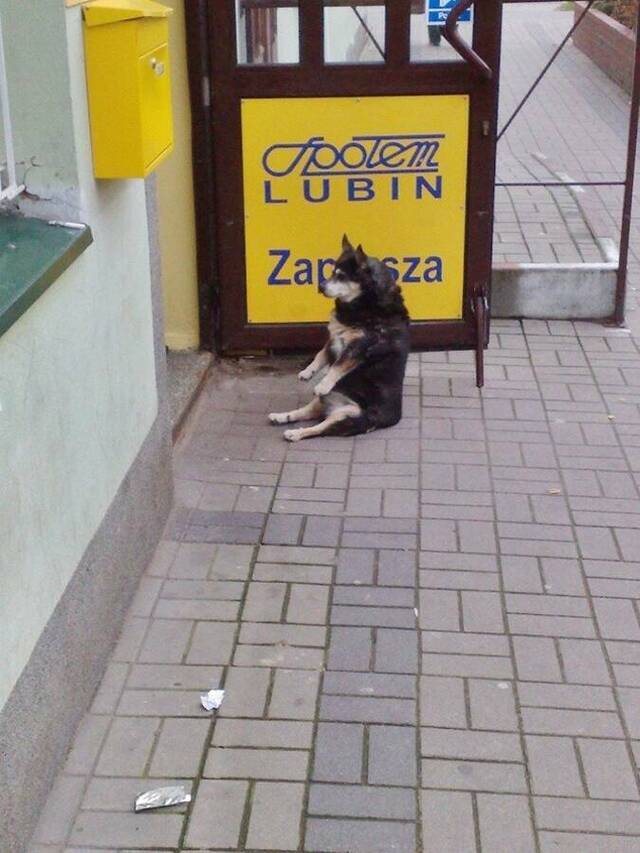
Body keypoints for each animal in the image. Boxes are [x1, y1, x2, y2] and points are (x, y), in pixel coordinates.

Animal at [268, 235, 411, 442]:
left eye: (342, 276)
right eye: (331, 273)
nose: (319, 287)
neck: (365, 305)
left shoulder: (357, 348)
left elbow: (337, 366)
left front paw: (323, 383)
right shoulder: (333, 339)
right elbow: (319, 356)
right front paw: (307, 372)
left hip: (347, 415)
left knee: (318, 428)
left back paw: (295, 433)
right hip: (322, 404)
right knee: (304, 413)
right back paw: (281, 417)